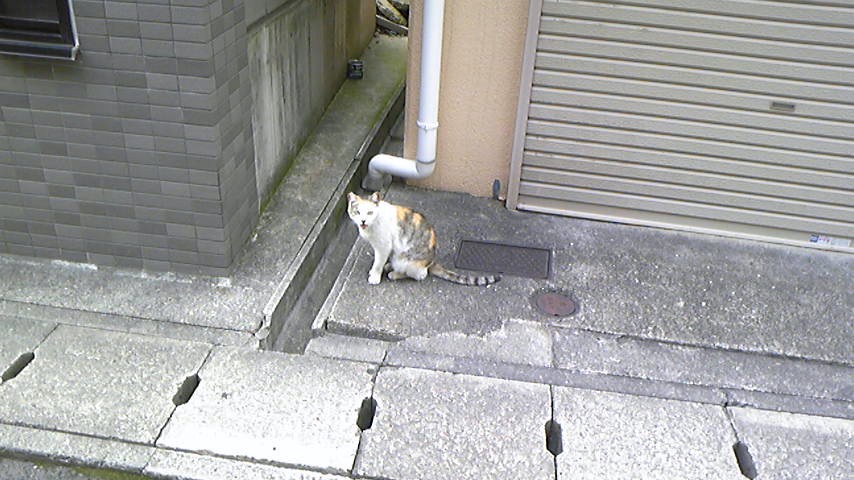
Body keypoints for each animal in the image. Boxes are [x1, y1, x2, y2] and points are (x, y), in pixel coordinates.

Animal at [347, 191, 500, 286]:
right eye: (357, 212)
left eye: (370, 212)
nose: (363, 221)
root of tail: (431, 261)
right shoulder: (381, 247)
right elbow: (378, 261)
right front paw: (375, 271)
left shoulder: (383, 246)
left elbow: (378, 262)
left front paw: (375, 276)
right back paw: (389, 266)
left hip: (406, 260)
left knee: (420, 275)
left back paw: (394, 273)